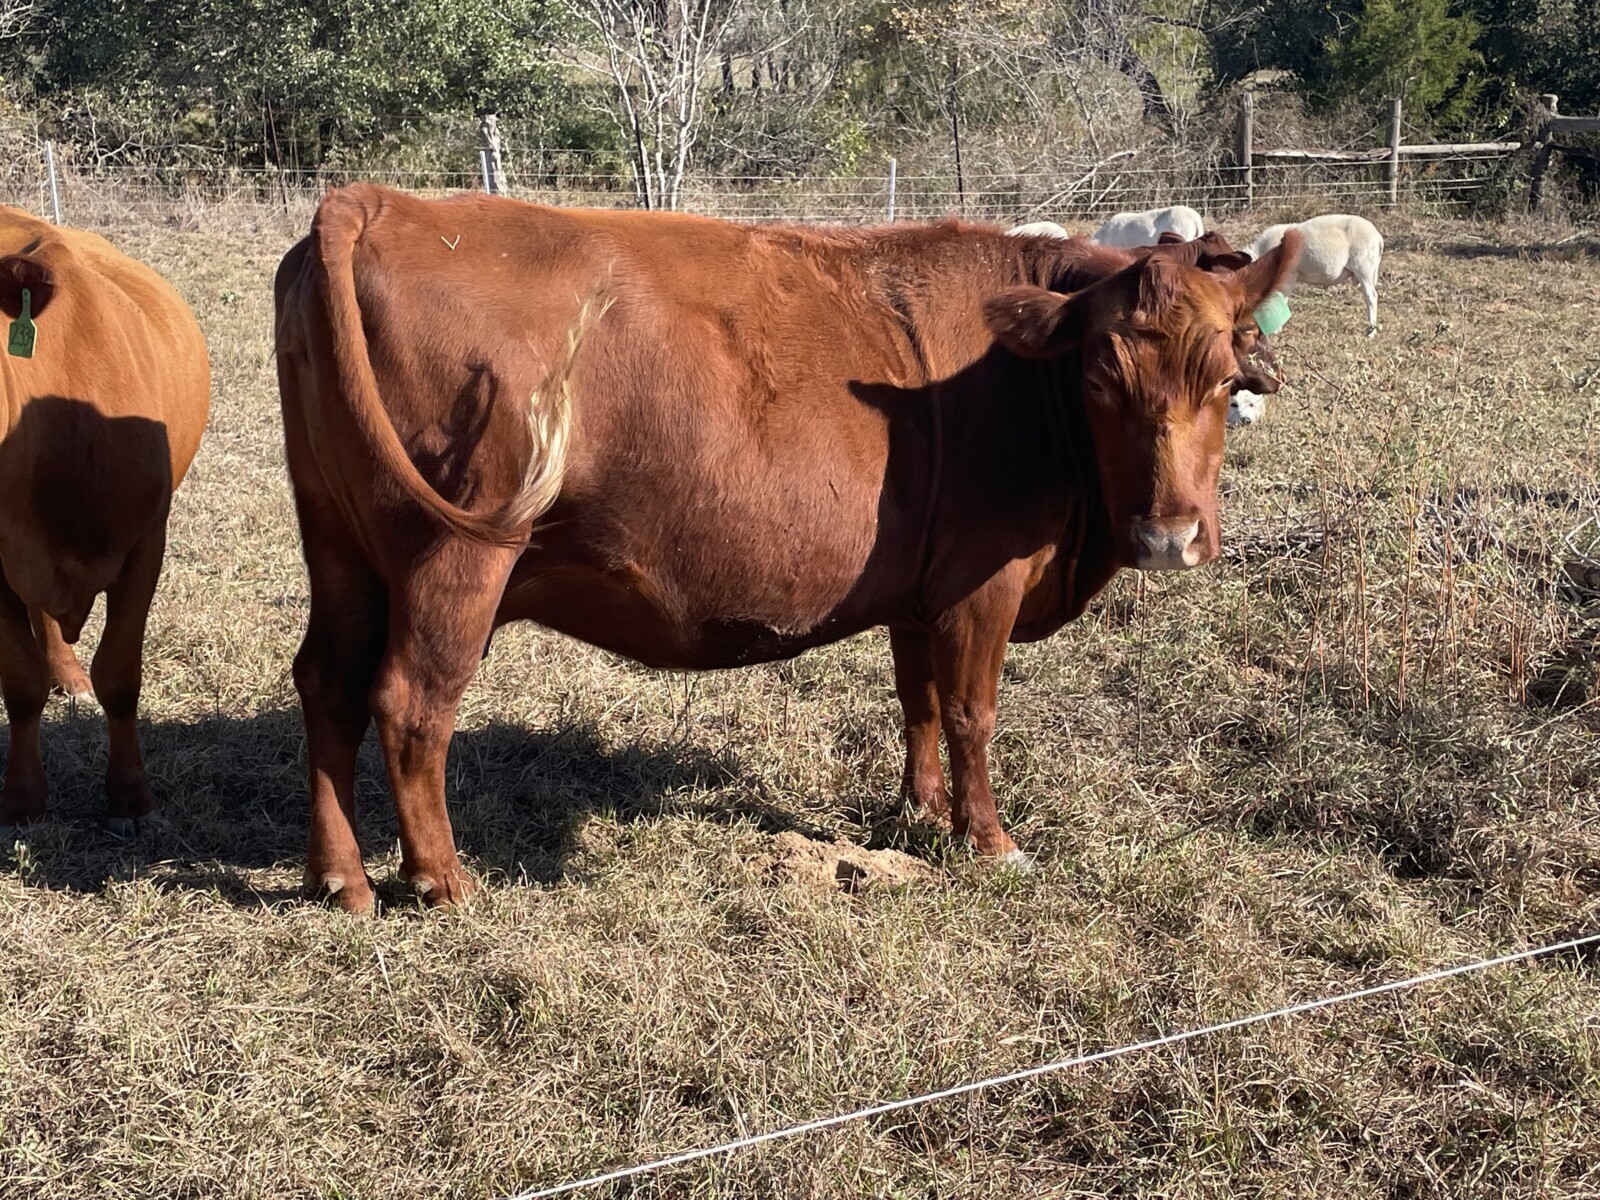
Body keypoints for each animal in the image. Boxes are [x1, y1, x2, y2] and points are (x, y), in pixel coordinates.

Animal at [274, 184, 1300, 911]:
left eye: (1223, 375)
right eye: (1097, 378)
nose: (1169, 534)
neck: (1011, 381)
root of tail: (379, 200)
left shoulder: (921, 591)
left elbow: (919, 704)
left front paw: (920, 812)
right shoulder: (983, 586)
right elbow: (971, 713)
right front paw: (990, 842)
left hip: (341, 547)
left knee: (327, 683)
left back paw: (341, 878)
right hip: (455, 560)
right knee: (411, 703)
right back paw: (441, 881)